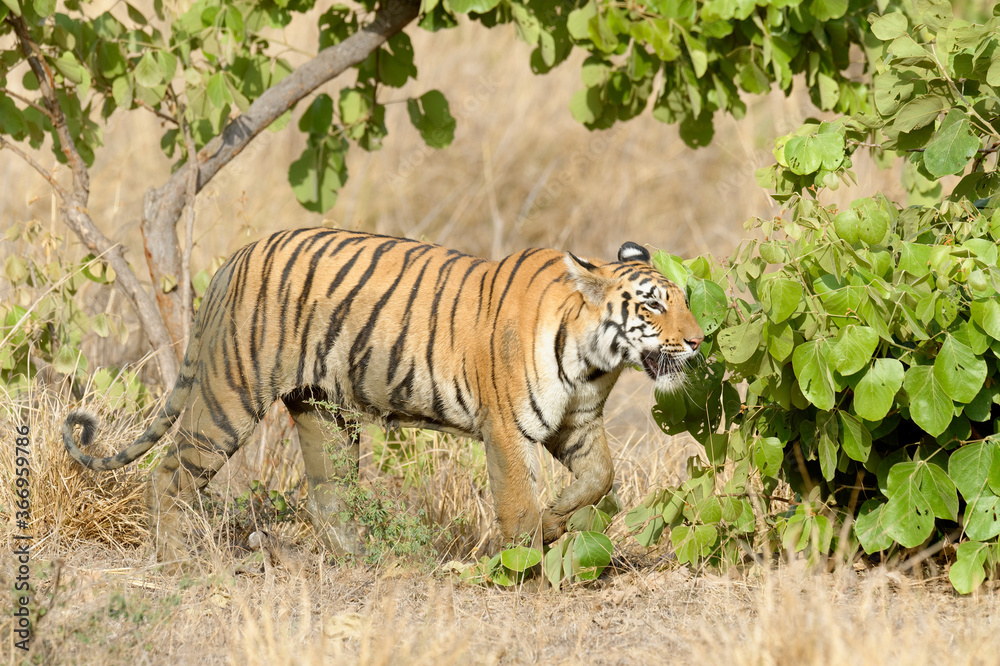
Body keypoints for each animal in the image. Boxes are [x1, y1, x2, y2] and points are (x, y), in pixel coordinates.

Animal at [64, 228, 704, 562]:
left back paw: (359, 558)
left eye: (685, 299)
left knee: (325, 497)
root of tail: (236, 258)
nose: (698, 341)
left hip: (321, 411)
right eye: (652, 305)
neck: (596, 360)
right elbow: (519, 505)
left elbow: (601, 479)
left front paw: (559, 519)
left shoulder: (580, 423)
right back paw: (177, 559)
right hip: (231, 395)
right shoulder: (506, 428)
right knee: (169, 472)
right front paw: (531, 561)